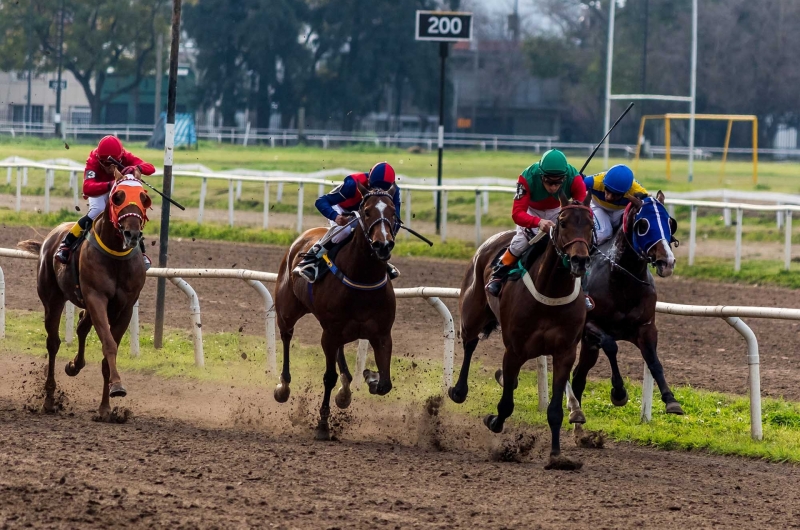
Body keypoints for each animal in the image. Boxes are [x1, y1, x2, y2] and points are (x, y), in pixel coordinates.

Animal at [16, 171, 152, 418]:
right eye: (117, 197)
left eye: (144, 198)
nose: (132, 234)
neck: (116, 255)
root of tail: (51, 235)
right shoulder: (96, 297)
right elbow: (108, 344)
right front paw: (117, 387)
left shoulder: (125, 307)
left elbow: (108, 350)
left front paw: (106, 407)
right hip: (52, 298)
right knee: (53, 342)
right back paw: (49, 399)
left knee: (81, 326)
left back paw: (74, 366)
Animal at [276, 184, 400, 440]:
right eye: (367, 212)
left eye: (393, 212)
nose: (383, 245)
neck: (363, 276)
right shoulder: (330, 334)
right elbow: (328, 377)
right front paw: (323, 425)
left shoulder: (382, 334)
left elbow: (385, 384)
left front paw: (370, 377)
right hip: (288, 309)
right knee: (286, 336)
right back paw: (283, 386)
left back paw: (346, 389)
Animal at [450, 193, 592, 466]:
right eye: (563, 223)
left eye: (591, 225)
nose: (579, 260)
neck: (550, 291)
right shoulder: (514, 350)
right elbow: (505, 405)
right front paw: (493, 421)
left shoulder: (565, 352)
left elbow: (555, 410)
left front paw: (557, 456)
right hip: (472, 312)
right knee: (470, 343)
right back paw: (458, 390)